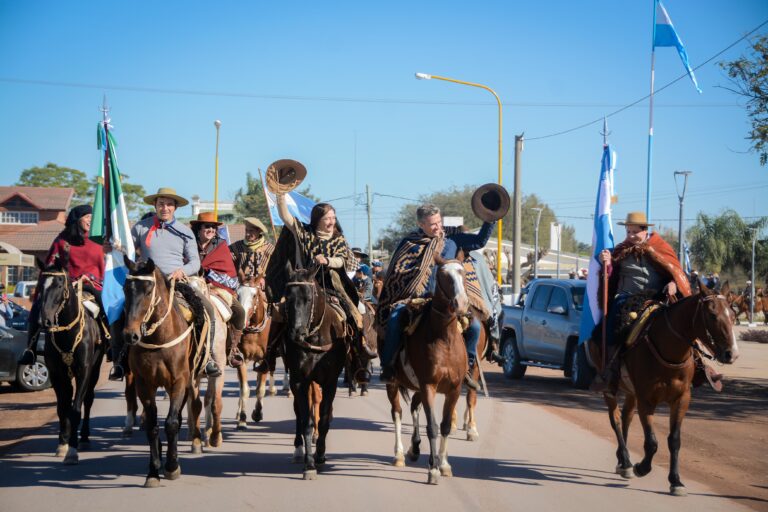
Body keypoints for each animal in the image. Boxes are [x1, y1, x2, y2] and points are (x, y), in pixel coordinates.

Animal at [38, 260, 106, 464]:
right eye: (40, 285)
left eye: (59, 285)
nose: (45, 320)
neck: (67, 333)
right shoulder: (57, 374)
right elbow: (62, 408)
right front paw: (63, 444)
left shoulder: (84, 371)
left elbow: (75, 409)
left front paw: (72, 450)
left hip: (95, 369)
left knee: (88, 399)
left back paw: (84, 438)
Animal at [282, 262, 348, 482]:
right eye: (287, 297)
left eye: (308, 299)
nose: (296, 333)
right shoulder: (299, 381)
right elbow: (306, 422)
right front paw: (309, 464)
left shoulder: (330, 382)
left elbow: (325, 418)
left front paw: (320, 455)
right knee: (299, 412)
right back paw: (298, 450)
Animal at [382, 256, 468, 484]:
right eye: (443, 275)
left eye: (463, 273)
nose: (461, 302)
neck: (444, 339)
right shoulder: (429, 385)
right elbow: (433, 427)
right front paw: (433, 469)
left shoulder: (454, 389)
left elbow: (445, 426)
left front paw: (444, 464)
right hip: (393, 383)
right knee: (397, 412)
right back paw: (399, 454)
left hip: (418, 387)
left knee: (414, 407)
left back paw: (414, 448)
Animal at [588, 280, 736, 496]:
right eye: (712, 314)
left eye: (733, 315)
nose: (731, 354)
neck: (669, 350)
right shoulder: (646, 400)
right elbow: (651, 442)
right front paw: (642, 467)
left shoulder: (681, 399)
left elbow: (674, 440)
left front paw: (676, 481)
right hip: (610, 388)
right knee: (615, 420)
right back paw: (626, 461)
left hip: (631, 392)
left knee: (626, 417)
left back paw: (622, 461)